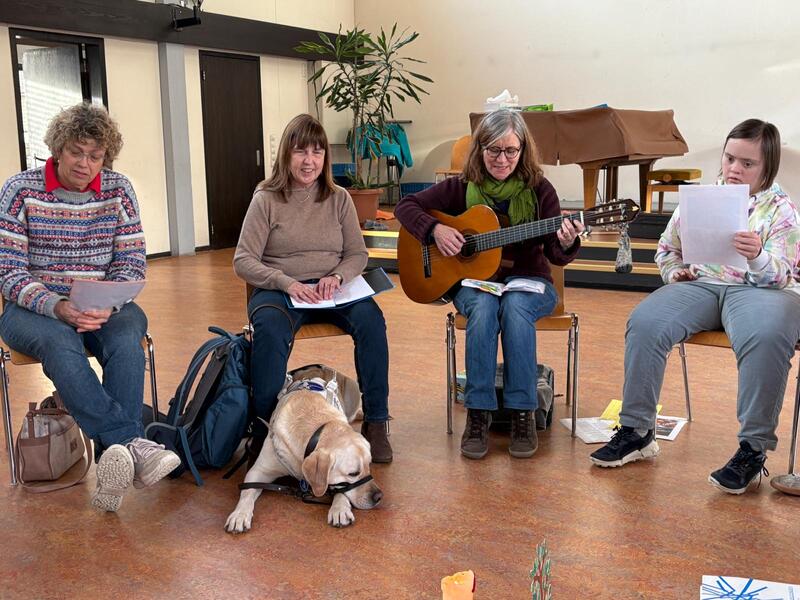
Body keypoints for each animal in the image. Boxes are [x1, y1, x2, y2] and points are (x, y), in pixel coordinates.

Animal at [225, 364, 383, 532]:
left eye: (369, 466)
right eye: (353, 474)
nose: (379, 496)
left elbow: (342, 491)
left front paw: (340, 509)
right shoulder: (258, 472)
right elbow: (246, 493)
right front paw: (239, 514)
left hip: (354, 390)